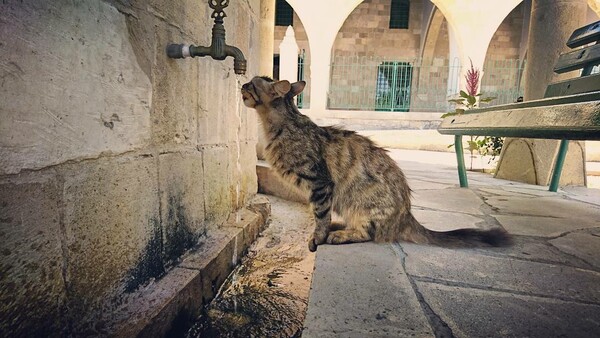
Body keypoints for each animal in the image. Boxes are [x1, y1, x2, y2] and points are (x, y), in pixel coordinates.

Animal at [241, 76, 508, 251]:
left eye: (252, 84)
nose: (242, 83)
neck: (280, 125)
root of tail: (407, 215)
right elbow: (321, 216)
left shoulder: (319, 183)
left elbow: (320, 217)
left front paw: (318, 238)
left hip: (363, 203)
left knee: (368, 233)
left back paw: (340, 234)